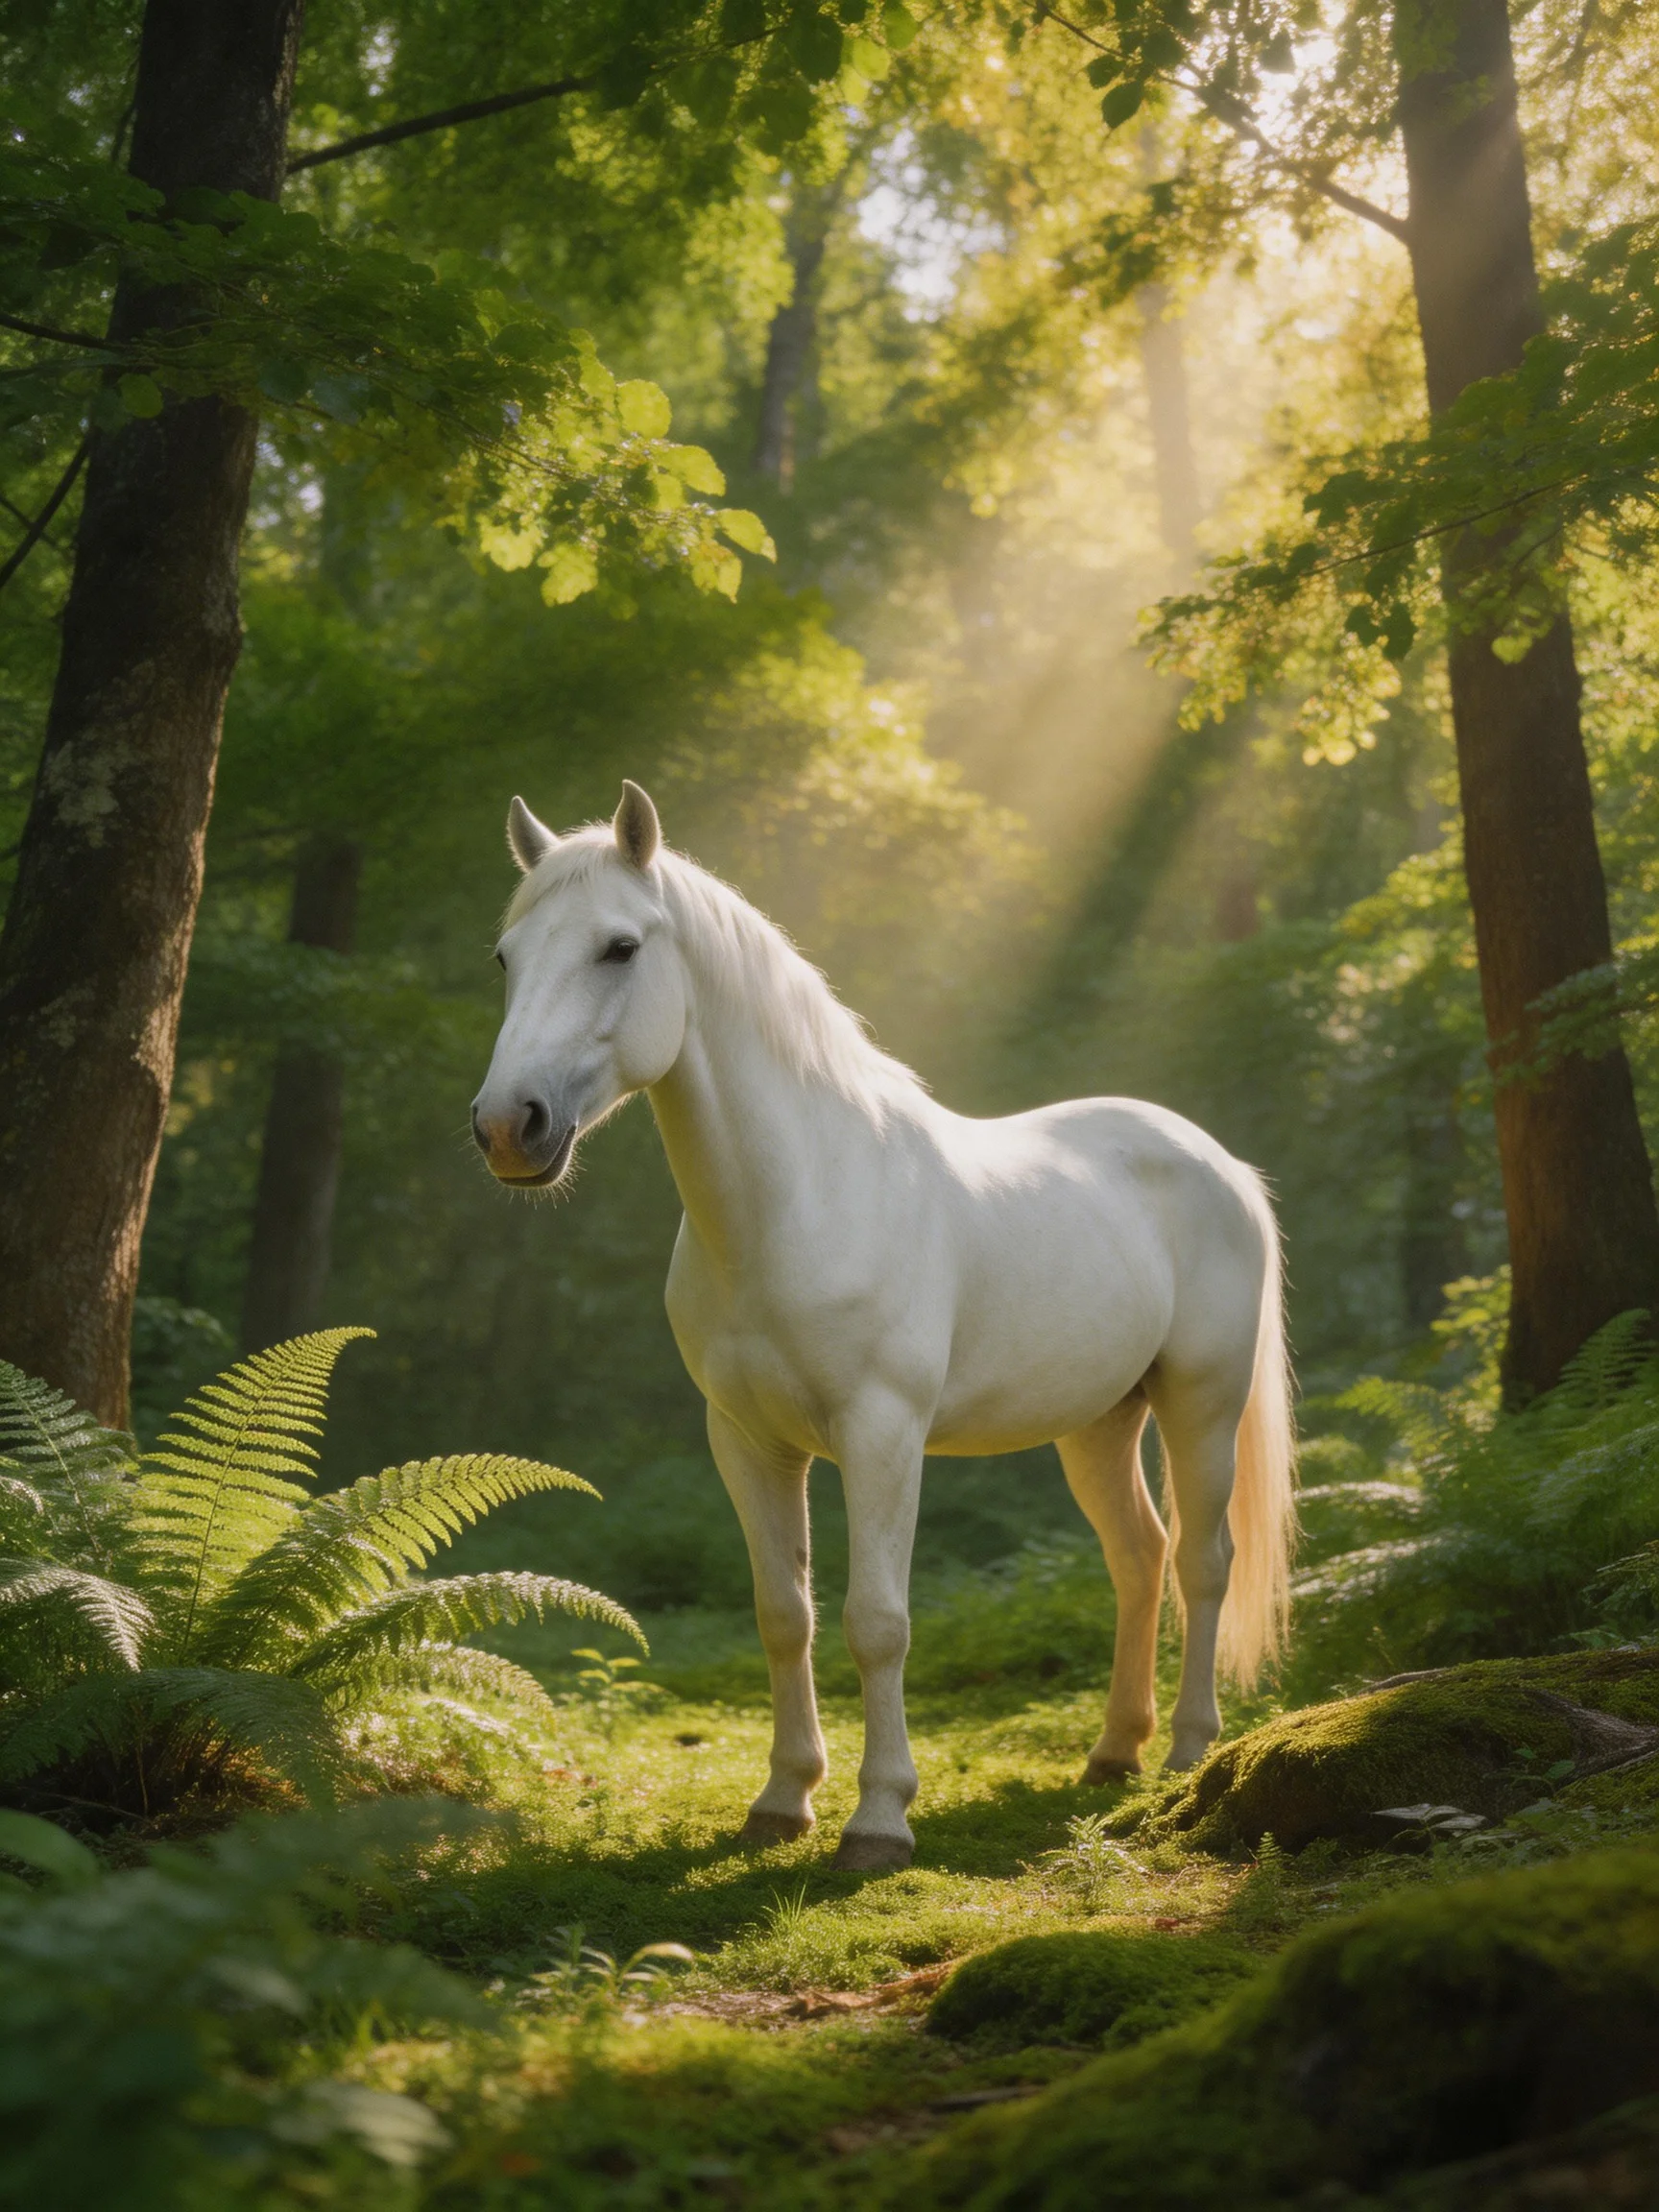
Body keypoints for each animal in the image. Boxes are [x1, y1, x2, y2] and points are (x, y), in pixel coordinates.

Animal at [472, 780, 1295, 1872]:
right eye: (507, 957)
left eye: (619, 947)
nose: (507, 1127)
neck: (801, 1200)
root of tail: (1219, 1162)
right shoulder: (747, 1442)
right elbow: (785, 1614)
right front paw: (782, 1800)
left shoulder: (882, 1434)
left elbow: (877, 1621)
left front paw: (878, 1820)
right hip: (1098, 1422)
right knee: (1140, 1556)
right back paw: (1114, 1750)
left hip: (1201, 1402)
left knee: (1205, 1563)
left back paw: (1189, 1752)